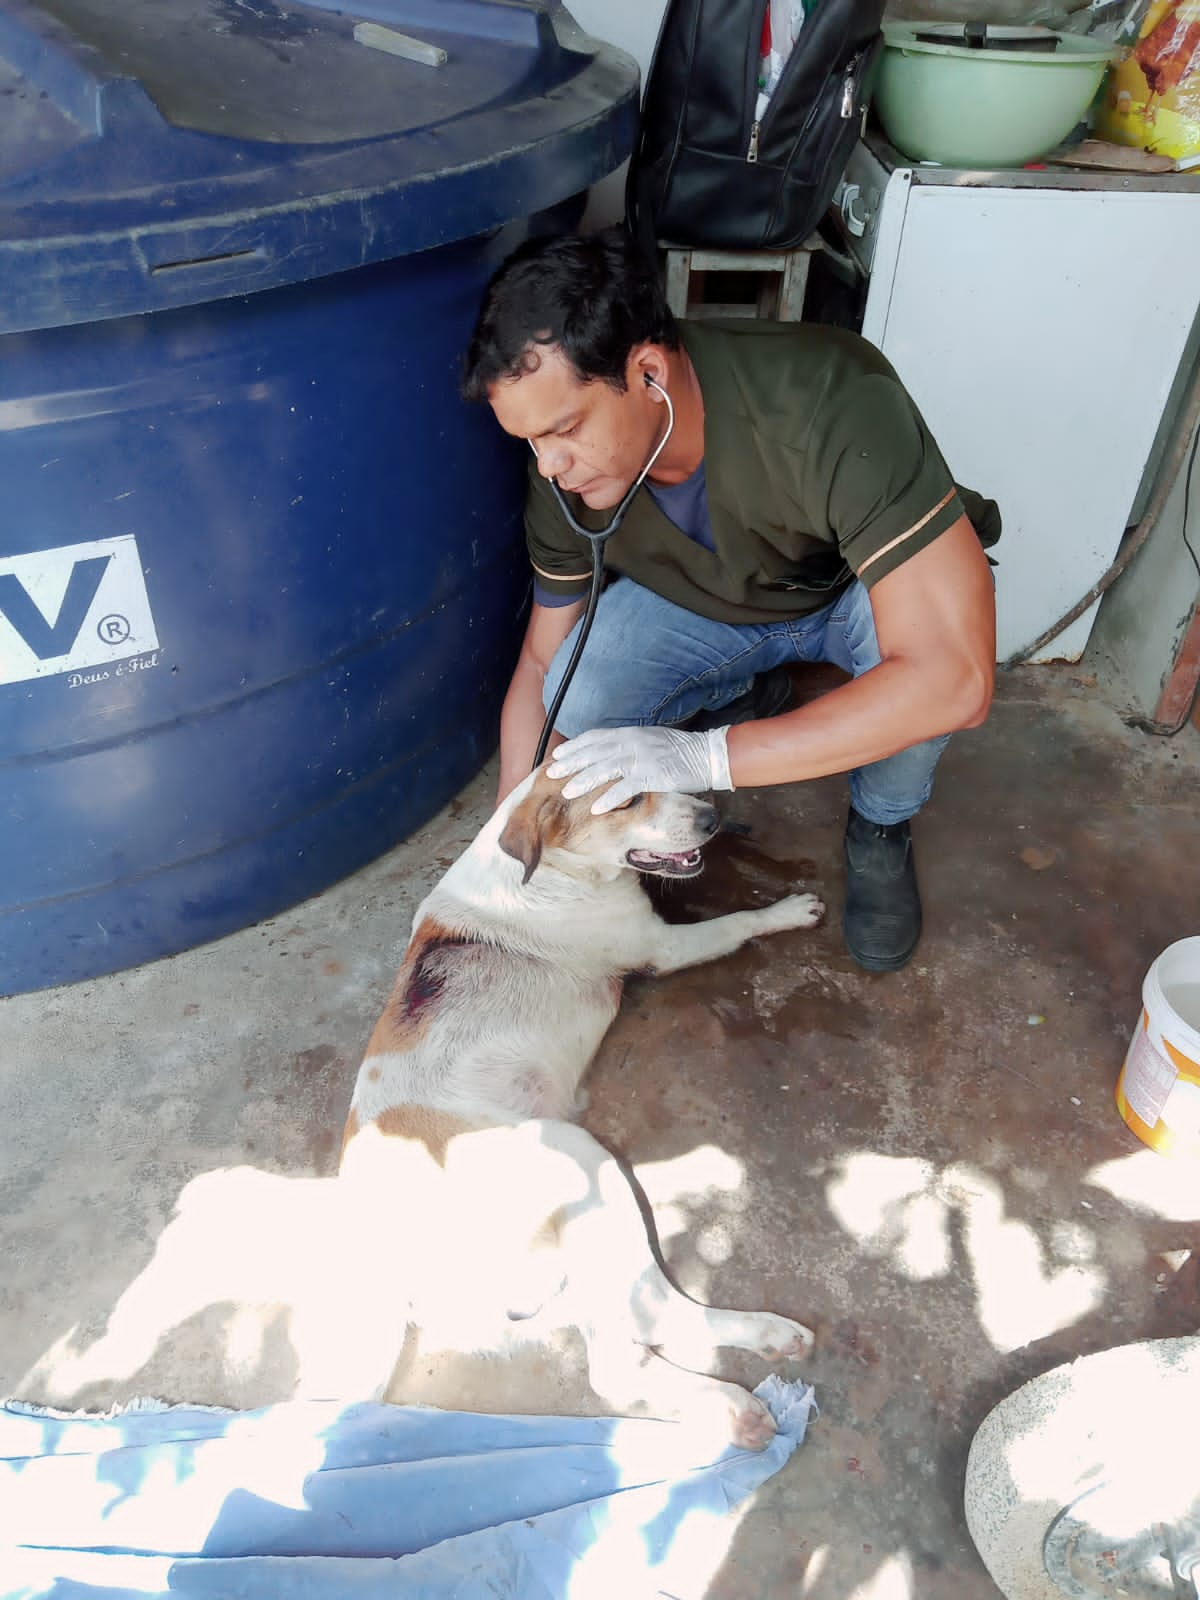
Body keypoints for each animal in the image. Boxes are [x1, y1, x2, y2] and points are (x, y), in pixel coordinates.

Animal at [339, 761, 825, 1452]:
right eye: (626, 800)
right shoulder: (660, 947)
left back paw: (749, 1367)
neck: (555, 872)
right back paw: (742, 1388)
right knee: (641, 1330)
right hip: (579, 1161)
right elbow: (733, 923)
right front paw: (782, 911)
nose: (713, 818)